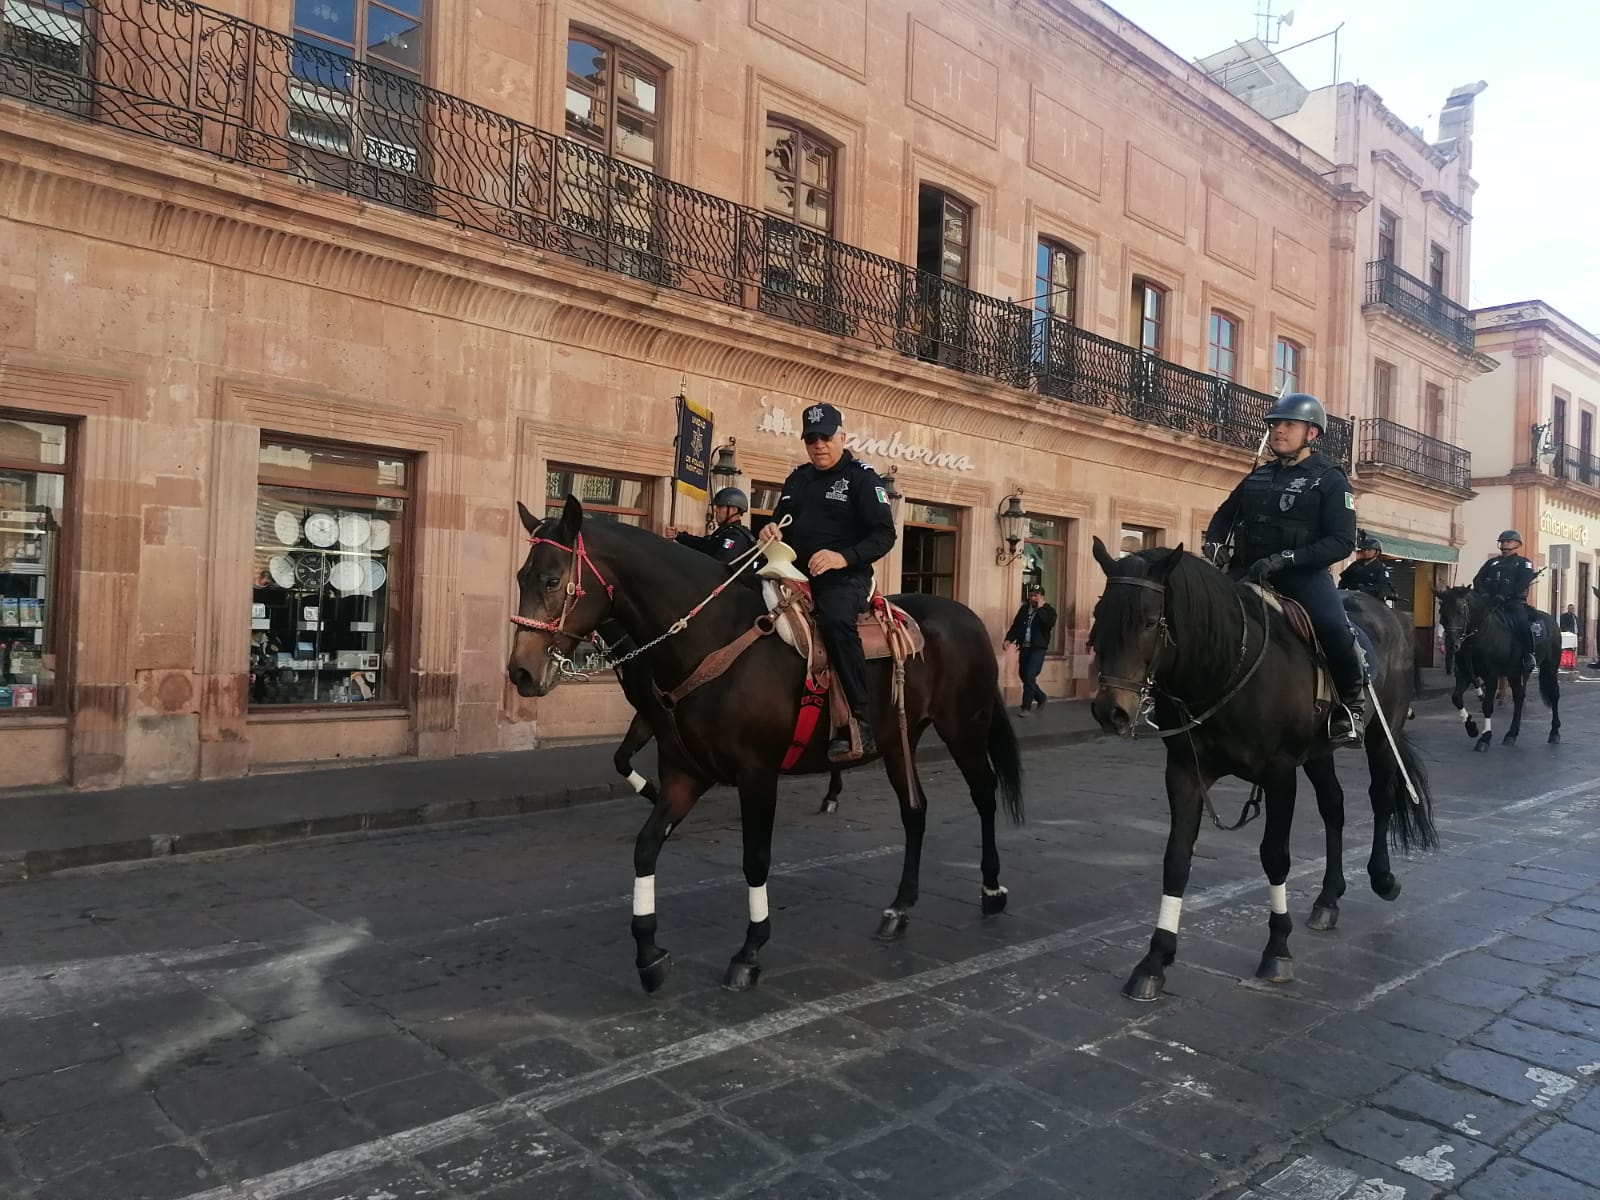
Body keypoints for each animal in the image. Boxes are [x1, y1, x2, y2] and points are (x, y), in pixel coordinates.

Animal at [508, 499, 1024, 998]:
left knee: (984, 794)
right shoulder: (685, 772)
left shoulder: (757, 774)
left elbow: (754, 860)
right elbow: (646, 846)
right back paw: (899, 908)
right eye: (520, 578)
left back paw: (992, 888)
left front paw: (749, 951)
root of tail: (968, 617)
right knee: (915, 811)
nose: (521, 672)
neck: (709, 638)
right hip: (901, 740)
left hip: (964, 728)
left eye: (552, 580)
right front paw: (649, 955)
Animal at [1088, 544, 1440, 1004]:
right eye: (1100, 614)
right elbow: (1176, 860)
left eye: (1149, 621)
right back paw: (1328, 898)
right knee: (1334, 808)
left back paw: (1382, 877)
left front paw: (1277, 950)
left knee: (1381, 798)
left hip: (1384, 734)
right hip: (1318, 752)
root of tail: (1392, 617)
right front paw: (1154, 960)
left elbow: (1275, 857)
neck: (1224, 666)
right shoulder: (1184, 772)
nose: (1110, 711)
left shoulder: (1279, 774)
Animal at [1433, 585, 1555, 752]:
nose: (1452, 645)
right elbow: (1456, 698)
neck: (1478, 638)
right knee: (1519, 698)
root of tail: (1551, 620)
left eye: (1460, 611)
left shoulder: (1491, 676)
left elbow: (1487, 706)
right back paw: (1511, 734)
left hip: (1549, 667)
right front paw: (1471, 727)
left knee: (1554, 696)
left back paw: (1554, 732)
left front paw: (1485, 737)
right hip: (1514, 673)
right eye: (1442, 611)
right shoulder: (1465, 673)